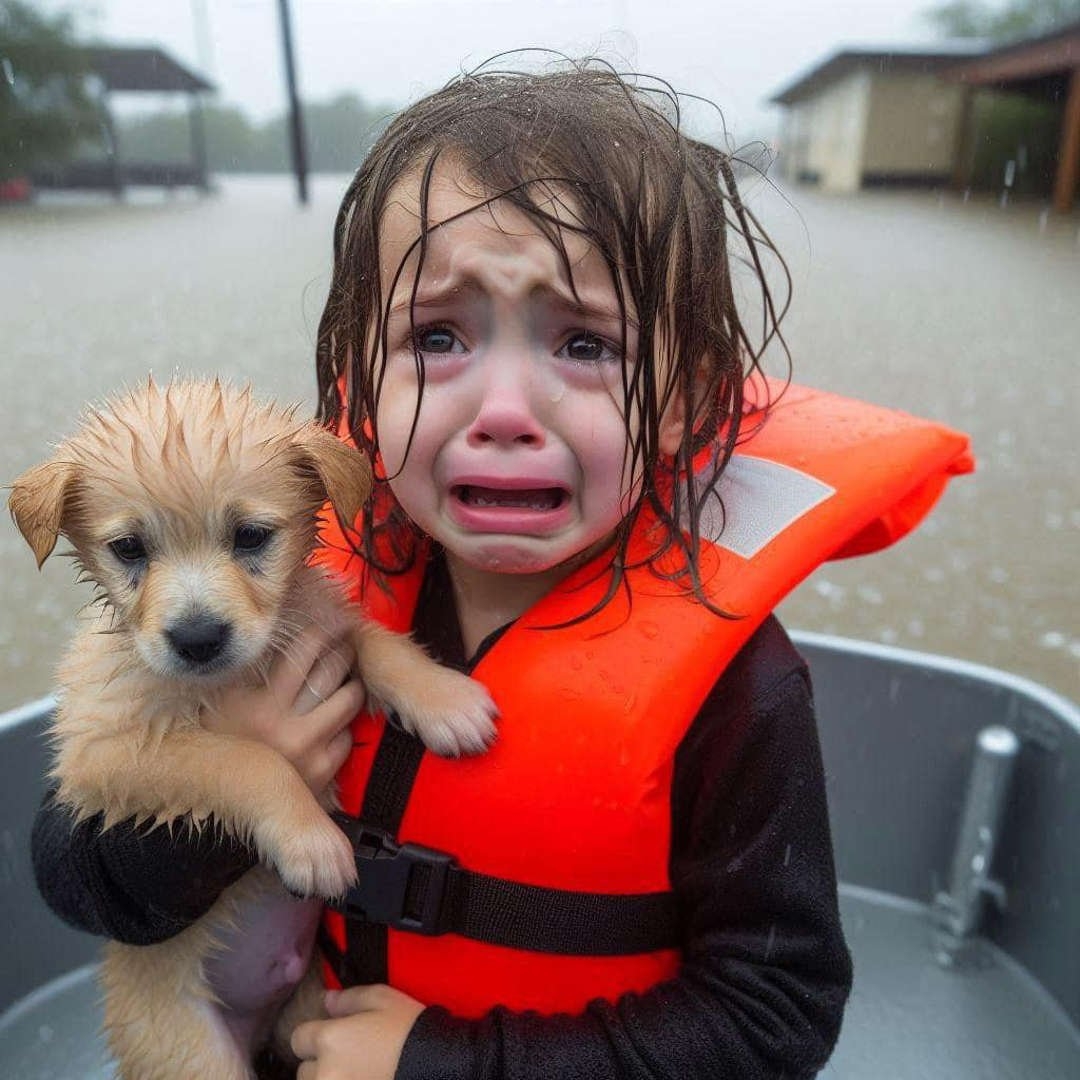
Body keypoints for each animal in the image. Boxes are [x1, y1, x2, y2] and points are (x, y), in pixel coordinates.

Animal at [9, 380, 496, 1080]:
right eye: (129, 548)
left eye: (251, 536)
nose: (197, 638)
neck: (228, 678)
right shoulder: (102, 753)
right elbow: (243, 759)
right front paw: (311, 842)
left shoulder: (317, 622)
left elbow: (374, 639)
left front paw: (444, 698)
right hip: (194, 1055)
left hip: (306, 1007)